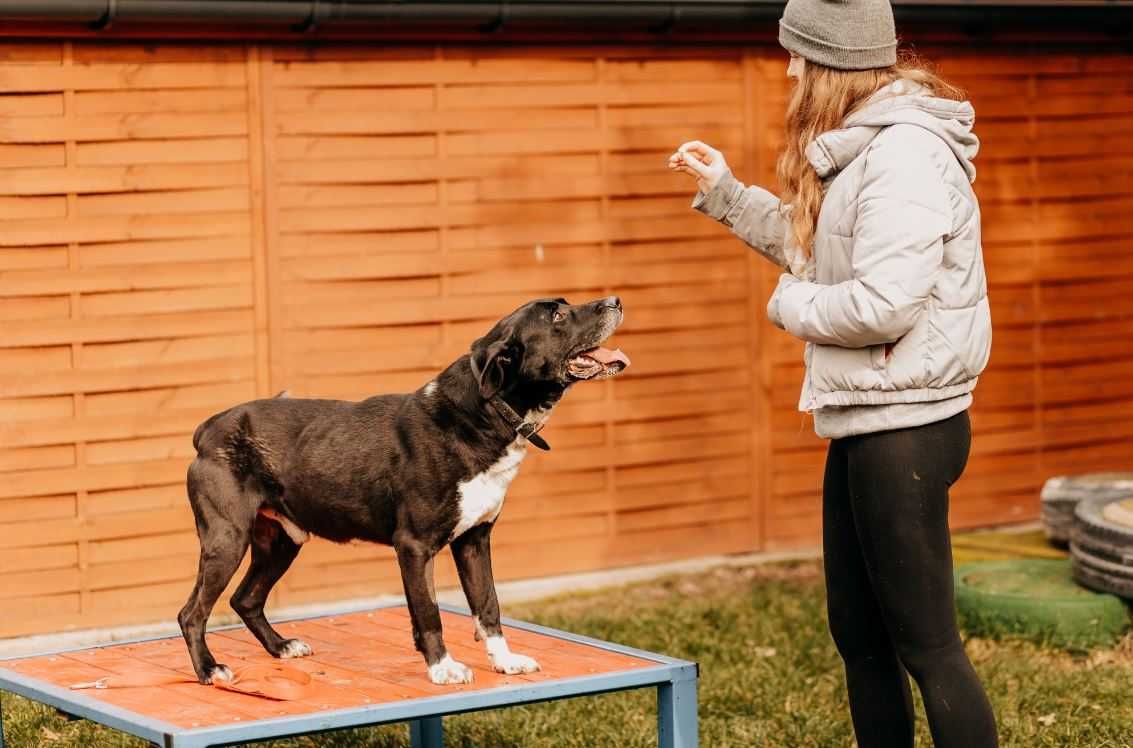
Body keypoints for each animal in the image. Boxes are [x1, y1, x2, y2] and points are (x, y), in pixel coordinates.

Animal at [181, 294, 634, 684]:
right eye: (556, 316)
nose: (615, 300)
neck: (485, 411)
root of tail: (209, 427)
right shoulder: (414, 547)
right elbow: (428, 611)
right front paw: (443, 668)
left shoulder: (474, 540)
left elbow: (488, 605)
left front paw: (504, 661)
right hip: (228, 539)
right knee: (192, 613)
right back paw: (209, 670)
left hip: (282, 540)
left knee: (245, 599)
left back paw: (280, 646)